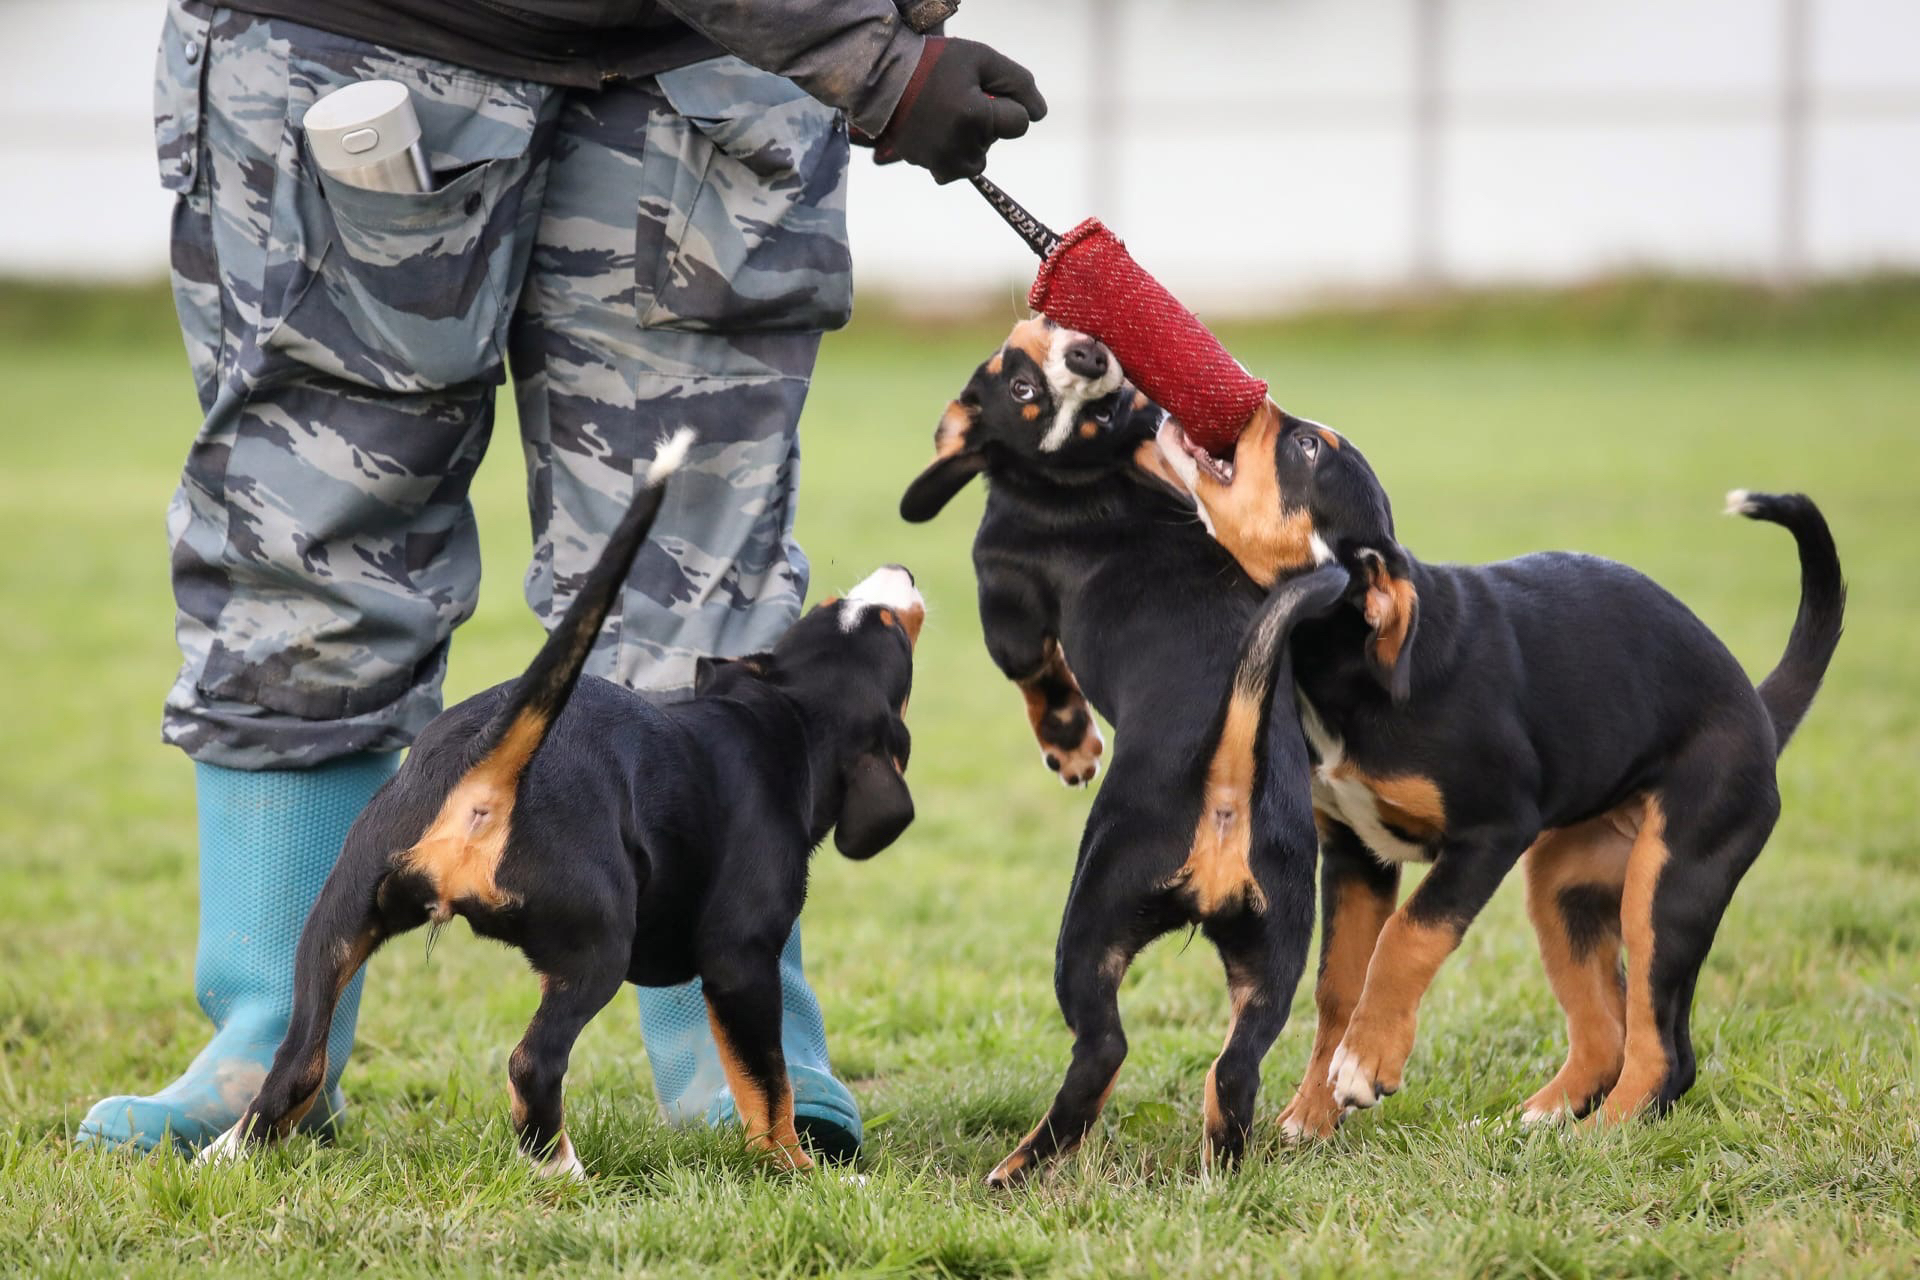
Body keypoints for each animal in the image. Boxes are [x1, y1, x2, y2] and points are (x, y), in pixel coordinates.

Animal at [204, 435, 929, 1174]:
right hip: (596, 945)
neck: (781, 718)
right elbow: (767, 1083)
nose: (901, 568)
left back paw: (226, 1154)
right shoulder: (741, 959)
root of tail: (488, 768)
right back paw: (560, 1168)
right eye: (892, 628)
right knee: (532, 1063)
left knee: (296, 1062)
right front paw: (798, 1170)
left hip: (338, 916)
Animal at [906, 318, 1344, 1182]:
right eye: (1023, 385)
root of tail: (1226, 792)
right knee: (1236, 1066)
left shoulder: (1006, 609)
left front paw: (1072, 749)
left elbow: (1040, 679)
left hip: (1091, 919)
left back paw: (1021, 1166)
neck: (1084, 473)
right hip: (1276, 947)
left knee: (1102, 1048)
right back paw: (1221, 1158)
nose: (1089, 354)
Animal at [1152, 408, 1843, 1128]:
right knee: (1607, 1030)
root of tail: (1759, 712)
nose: (1256, 400)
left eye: (1308, 447)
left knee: (1665, 1050)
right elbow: (1339, 986)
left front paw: (1365, 1066)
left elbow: (1406, 937)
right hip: (1564, 888)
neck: (1348, 659)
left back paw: (1602, 1136)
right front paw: (1313, 1113)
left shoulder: (1492, 830)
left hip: (1670, 884)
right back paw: (1545, 1121)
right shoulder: (1354, 855)